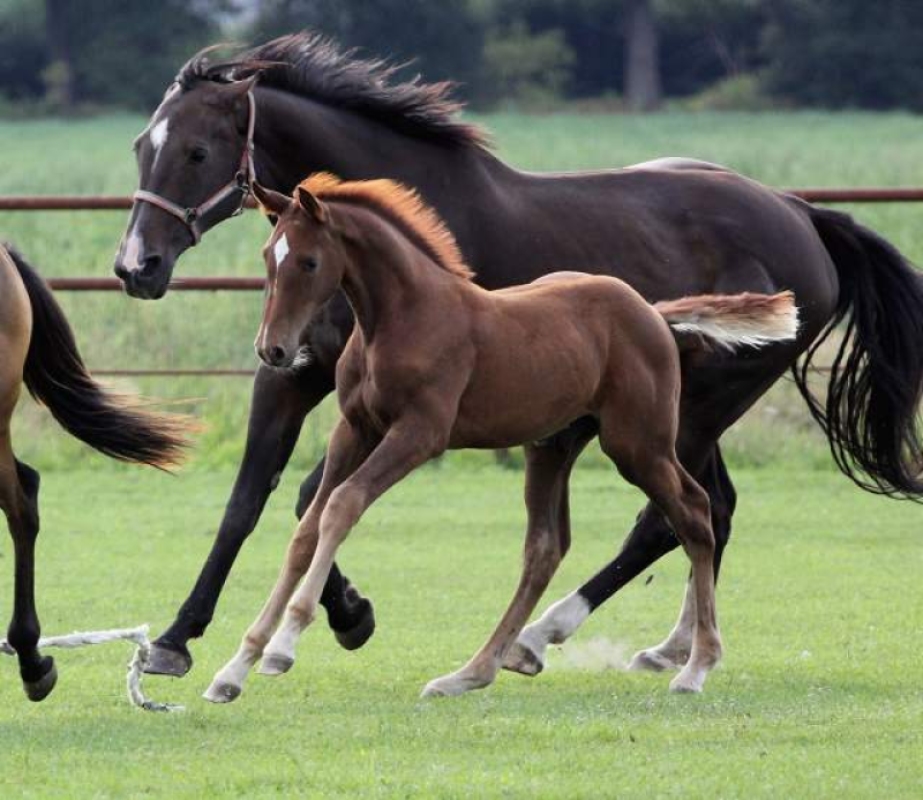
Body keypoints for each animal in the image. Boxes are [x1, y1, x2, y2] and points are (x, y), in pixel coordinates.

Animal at [206, 175, 796, 700]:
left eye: (308, 261)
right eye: (267, 256)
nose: (274, 350)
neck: (400, 318)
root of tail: (651, 312)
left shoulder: (419, 433)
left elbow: (341, 506)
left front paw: (283, 645)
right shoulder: (355, 430)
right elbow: (308, 529)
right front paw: (235, 668)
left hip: (638, 444)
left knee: (694, 512)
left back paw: (695, 665)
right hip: (553, 445)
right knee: (546, 548)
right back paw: (472, 672)